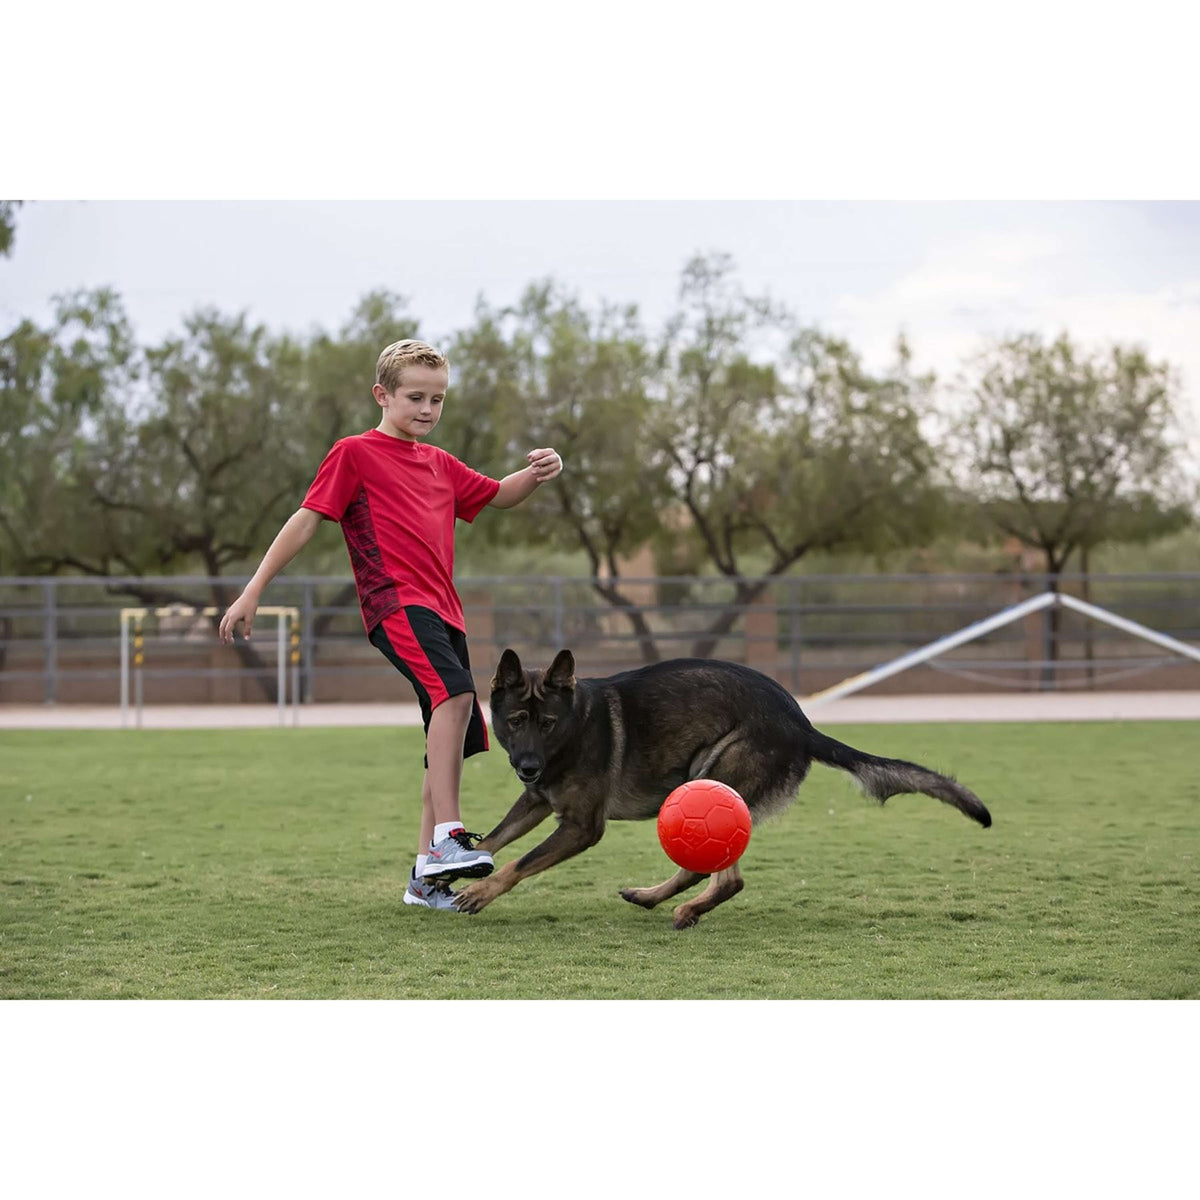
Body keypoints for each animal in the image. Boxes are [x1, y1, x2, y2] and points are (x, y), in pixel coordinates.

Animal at [453, 652, 988, 921]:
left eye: (547, 723)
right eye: (516, 722)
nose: (527, 766)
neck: (576, 726)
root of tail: (802, 723)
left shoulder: (581, 827)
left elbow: (519, 863)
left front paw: (481, 892)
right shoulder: (535, 802)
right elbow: (494, 840)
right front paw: (450, 871)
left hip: (709, 780)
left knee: (726, 878)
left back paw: (684, 909)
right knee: (708, 872)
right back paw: (653, 898)